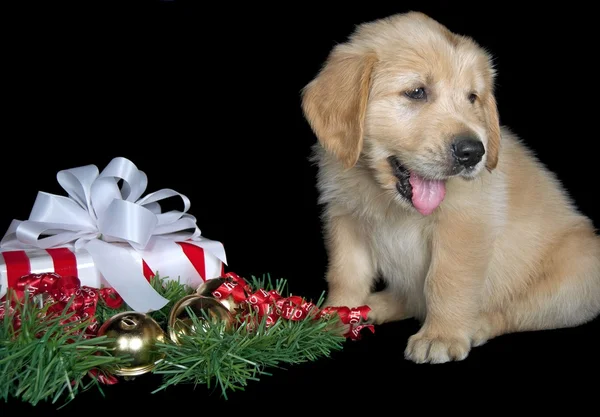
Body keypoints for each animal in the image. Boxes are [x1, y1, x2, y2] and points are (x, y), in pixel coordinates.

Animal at [302, 11, 600, 362]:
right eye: (417, 92)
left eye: (472, 97)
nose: (473, 152)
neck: (388, 200)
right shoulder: (344, 217)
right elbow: (346, 273)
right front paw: (337, 317)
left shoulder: (464, 225)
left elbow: (446, 281)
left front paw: (441, 336)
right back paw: (376, 305)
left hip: (572, 280)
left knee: (518, 312)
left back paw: (477, 325)